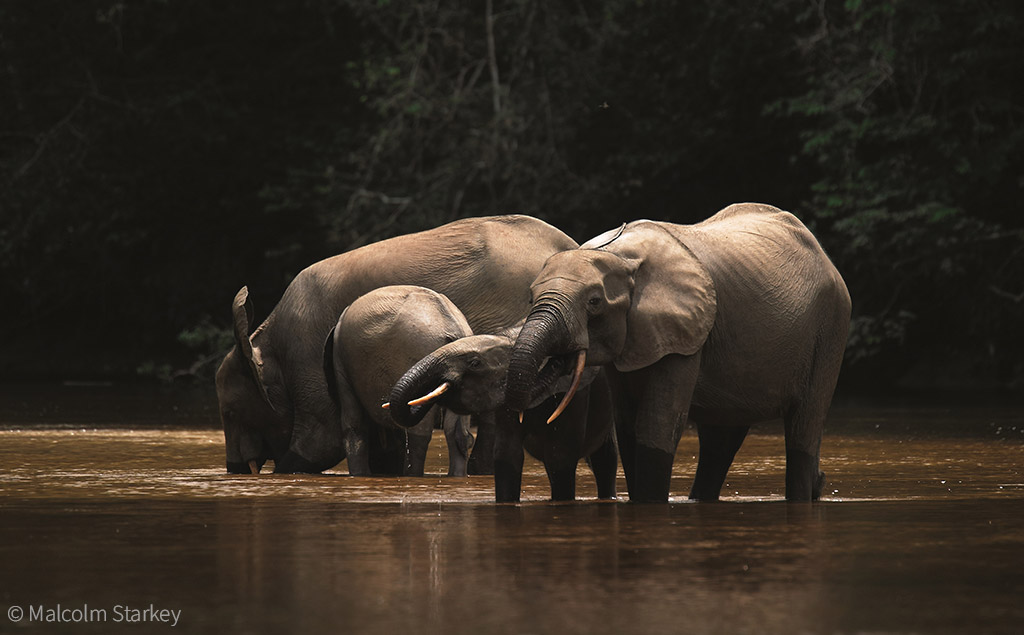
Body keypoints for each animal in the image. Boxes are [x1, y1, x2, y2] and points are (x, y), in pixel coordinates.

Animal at [323, 286, 475, 475]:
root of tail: (453, 326)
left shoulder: (341, 361)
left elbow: (353, 426)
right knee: (458, 433)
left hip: (415, 351)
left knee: (419, 432)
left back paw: (413, 476)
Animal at [387, 327, 614, 501]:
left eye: (474, 363)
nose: (561, 361)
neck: (516, 339)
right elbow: (507, 454)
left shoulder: (574, 396)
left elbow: (560, 456)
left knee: (604, 458)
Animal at [501, 203, 847, 501]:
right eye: (530, 299)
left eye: (594, 302)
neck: (618, 255)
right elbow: (628, 424)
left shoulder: (686, 334)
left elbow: (657, 424)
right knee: (720, 441)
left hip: (830, 329)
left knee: (803, 430)